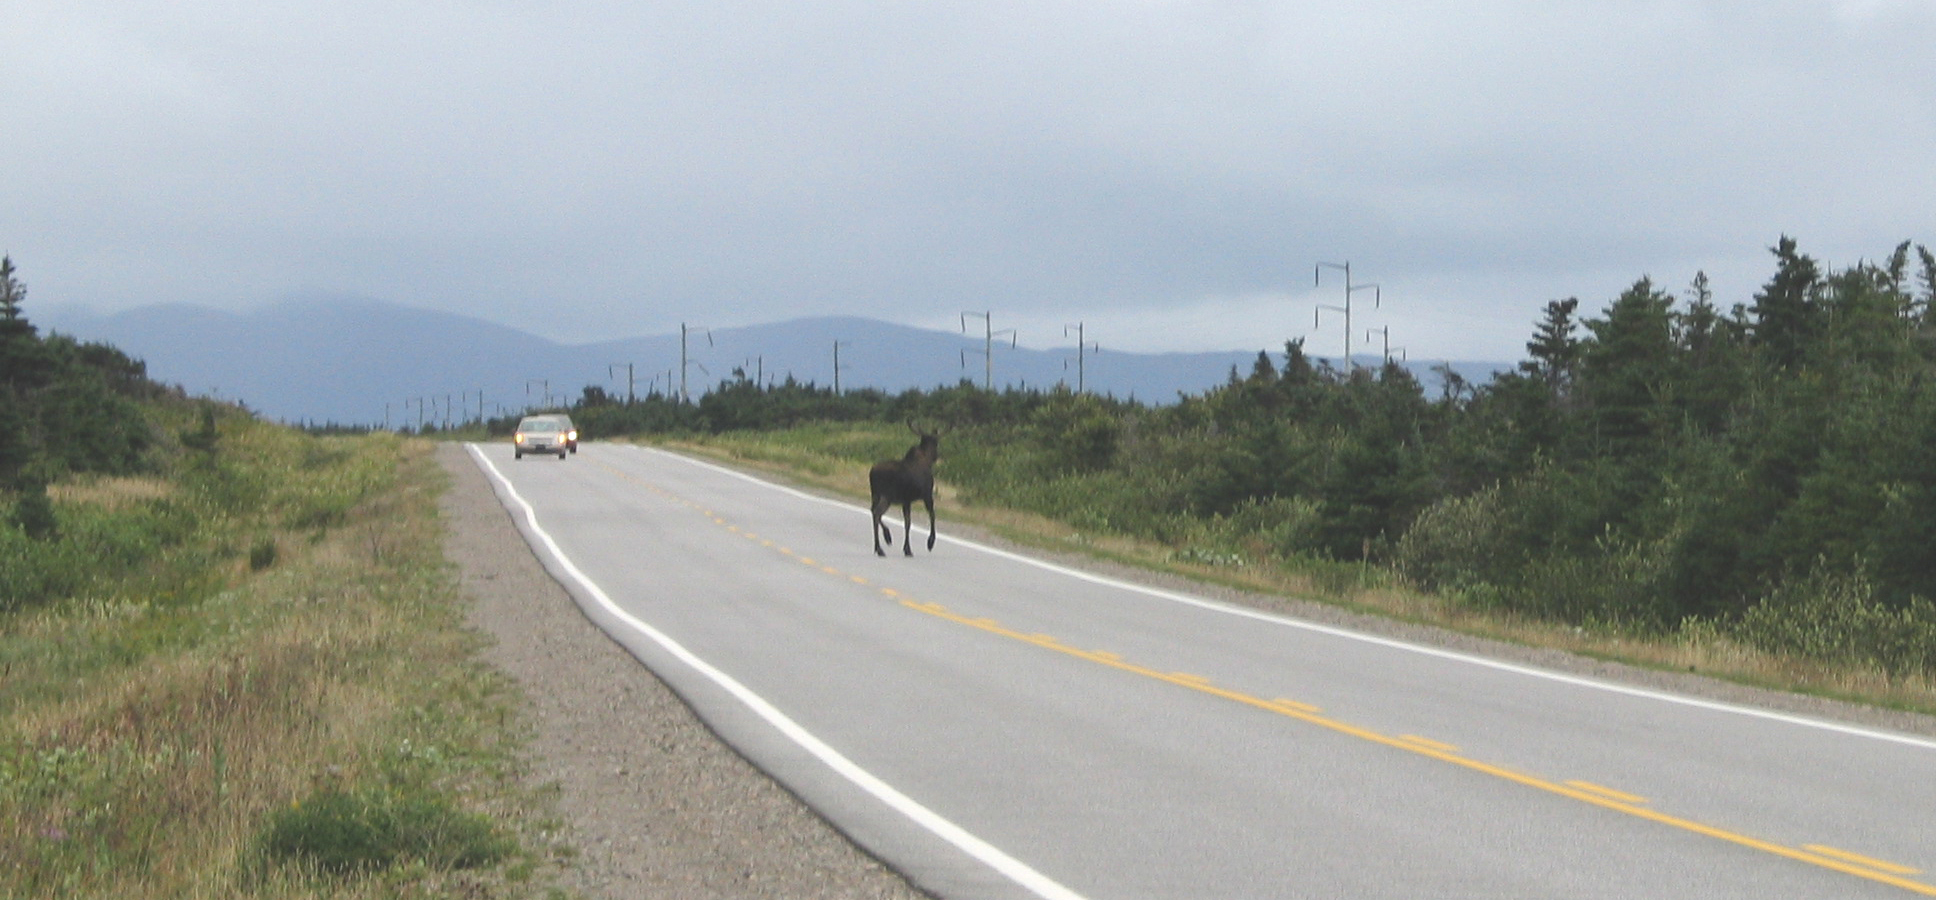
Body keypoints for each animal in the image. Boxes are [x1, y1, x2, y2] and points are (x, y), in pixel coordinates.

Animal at [875, 421, 940, 553]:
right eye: (936, 443)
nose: (937, 456)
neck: (926, 460)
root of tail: (871, 472)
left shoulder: (906, 500)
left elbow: (907, 523)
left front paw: (907, 548)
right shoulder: (927, 495)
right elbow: (932, 515)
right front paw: (930, 543)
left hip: (875, 494)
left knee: (873, 512)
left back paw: (878, 546)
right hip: (887, 496)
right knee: (877, 513)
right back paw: (885, 540)